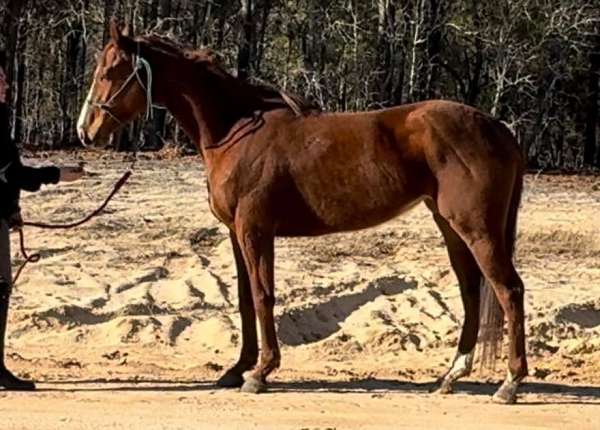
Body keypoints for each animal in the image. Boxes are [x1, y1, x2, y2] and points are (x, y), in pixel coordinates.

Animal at [77, 21, 528, 404]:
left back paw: (509, 383)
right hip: (451, 226)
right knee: (471, 290)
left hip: (476, 228)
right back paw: (452, 375)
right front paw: (237, 369)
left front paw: (261, 373)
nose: (86, 130)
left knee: (508, 290)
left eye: (111, 71)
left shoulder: (255, 229)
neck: (235, 132)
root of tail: (500, 129)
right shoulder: (236, 233)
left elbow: (263, 295)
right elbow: (245, 298)